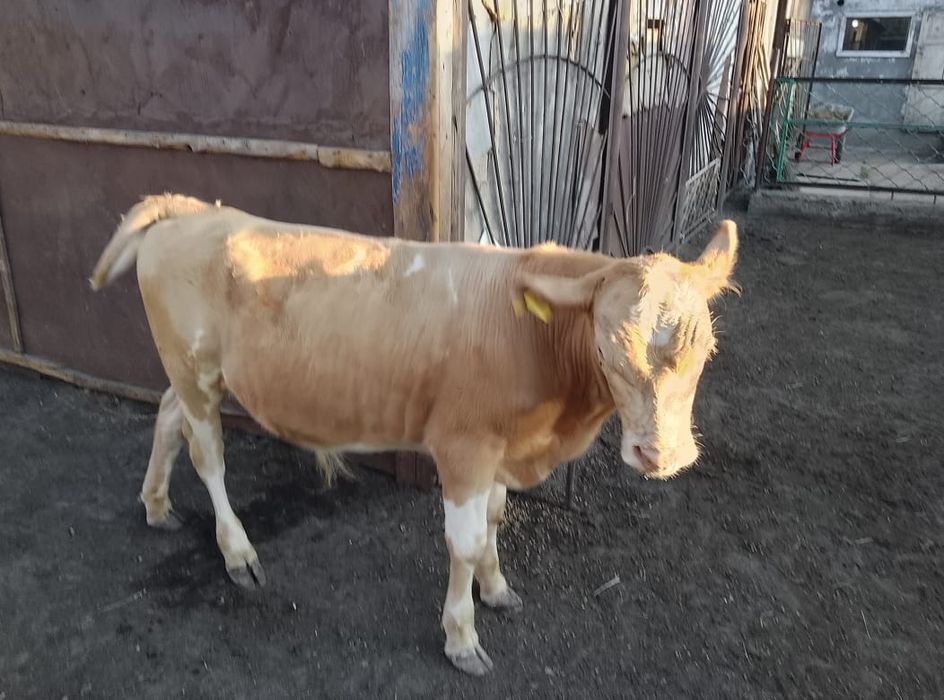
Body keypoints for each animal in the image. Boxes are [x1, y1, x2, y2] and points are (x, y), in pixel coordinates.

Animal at [90, 194, 738, 676]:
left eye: (707, 349)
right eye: (607, 351)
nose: (660, 454)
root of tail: (194, 209)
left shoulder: (502, 445)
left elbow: (495, 521)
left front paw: (496, 589)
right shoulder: (463, 445)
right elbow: (466, 541)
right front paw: (461, 637)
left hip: (191, 372)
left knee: (168, 416)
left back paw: (157, 504)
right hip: (193, 364)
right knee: (208, 454)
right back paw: (237, 552)